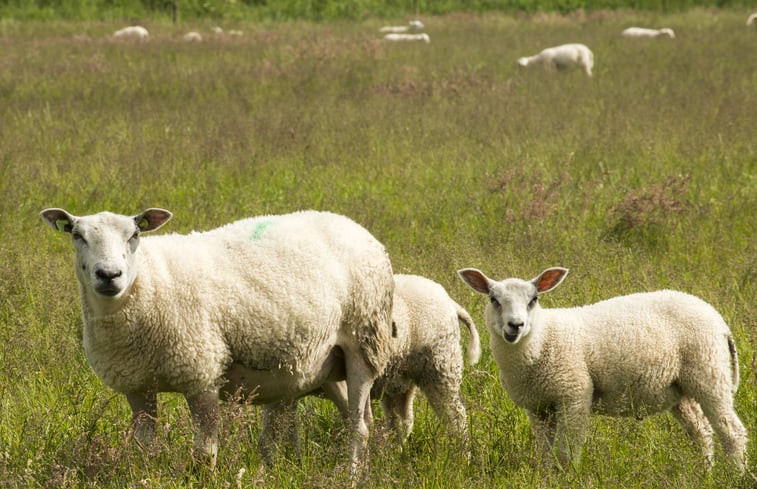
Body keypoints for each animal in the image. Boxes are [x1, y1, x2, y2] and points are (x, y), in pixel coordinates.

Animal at [39, 207, 396, 472]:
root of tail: (355, 227)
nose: (109, 275)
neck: (149, 282)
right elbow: (146, 448)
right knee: (357, 416)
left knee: (359, 427)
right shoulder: (137, 387)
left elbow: (204, 455)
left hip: (364, 343)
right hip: (326, 363)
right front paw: (148, 474)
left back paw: (351, 475)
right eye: (77, 235)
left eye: (135, 234)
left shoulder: (202, 373)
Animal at [458, 264, 748, 470]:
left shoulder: (574, 394)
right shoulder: (538, 406)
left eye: (534, 299)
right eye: (494, 299)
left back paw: (736, 474)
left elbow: (568, 450)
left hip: (709, 374)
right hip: (680, 389)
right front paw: (546, 476)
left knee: (733, 433)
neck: (542, 340)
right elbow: (545, 452)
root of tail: (717, 318)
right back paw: (705, 472)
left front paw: (568, 476)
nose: (515, 325)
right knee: (701, 432)